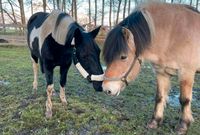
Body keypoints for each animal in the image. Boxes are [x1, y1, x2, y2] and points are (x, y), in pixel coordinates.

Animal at [103, 2, 200, 134]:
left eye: (123, 57)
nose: (106, 89)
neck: (174, 34)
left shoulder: (186, 73)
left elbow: (184, 100)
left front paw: (183, 126)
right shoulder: (161, 73)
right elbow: (159, 97)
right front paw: (155, 121)